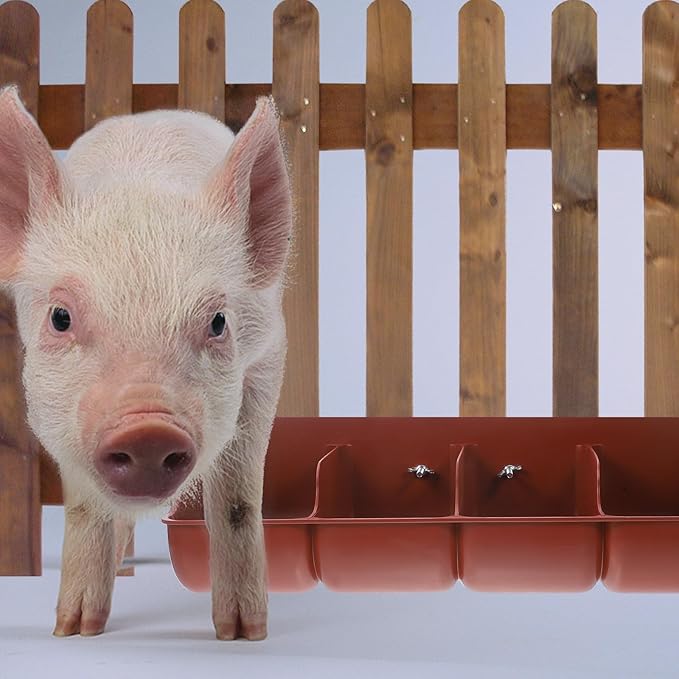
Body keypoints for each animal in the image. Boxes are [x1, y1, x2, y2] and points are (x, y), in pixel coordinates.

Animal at [0, 85, 292, 640]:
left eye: (218, 321)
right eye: (60, 317)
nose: (148, 429)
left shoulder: (268, 355)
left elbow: (237, 500)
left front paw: (242, 634)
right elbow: (86, 507)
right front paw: (75, 631)